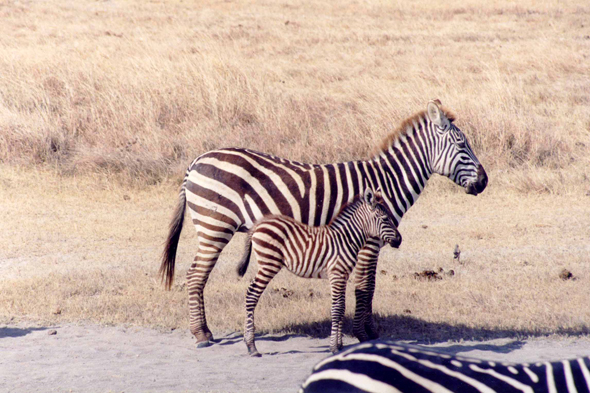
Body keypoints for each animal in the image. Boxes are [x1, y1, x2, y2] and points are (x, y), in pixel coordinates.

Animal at [238, 187, 404, 356]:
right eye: (385, 219)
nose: (399, 240)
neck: (346, 239)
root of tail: (258, 225)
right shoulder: (337, 274)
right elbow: (337, 309)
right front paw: (333, 347)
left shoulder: (343, 275)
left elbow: (342, 307)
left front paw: (340, 345)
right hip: (268, 264)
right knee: (251, 295)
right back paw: (251, 346)